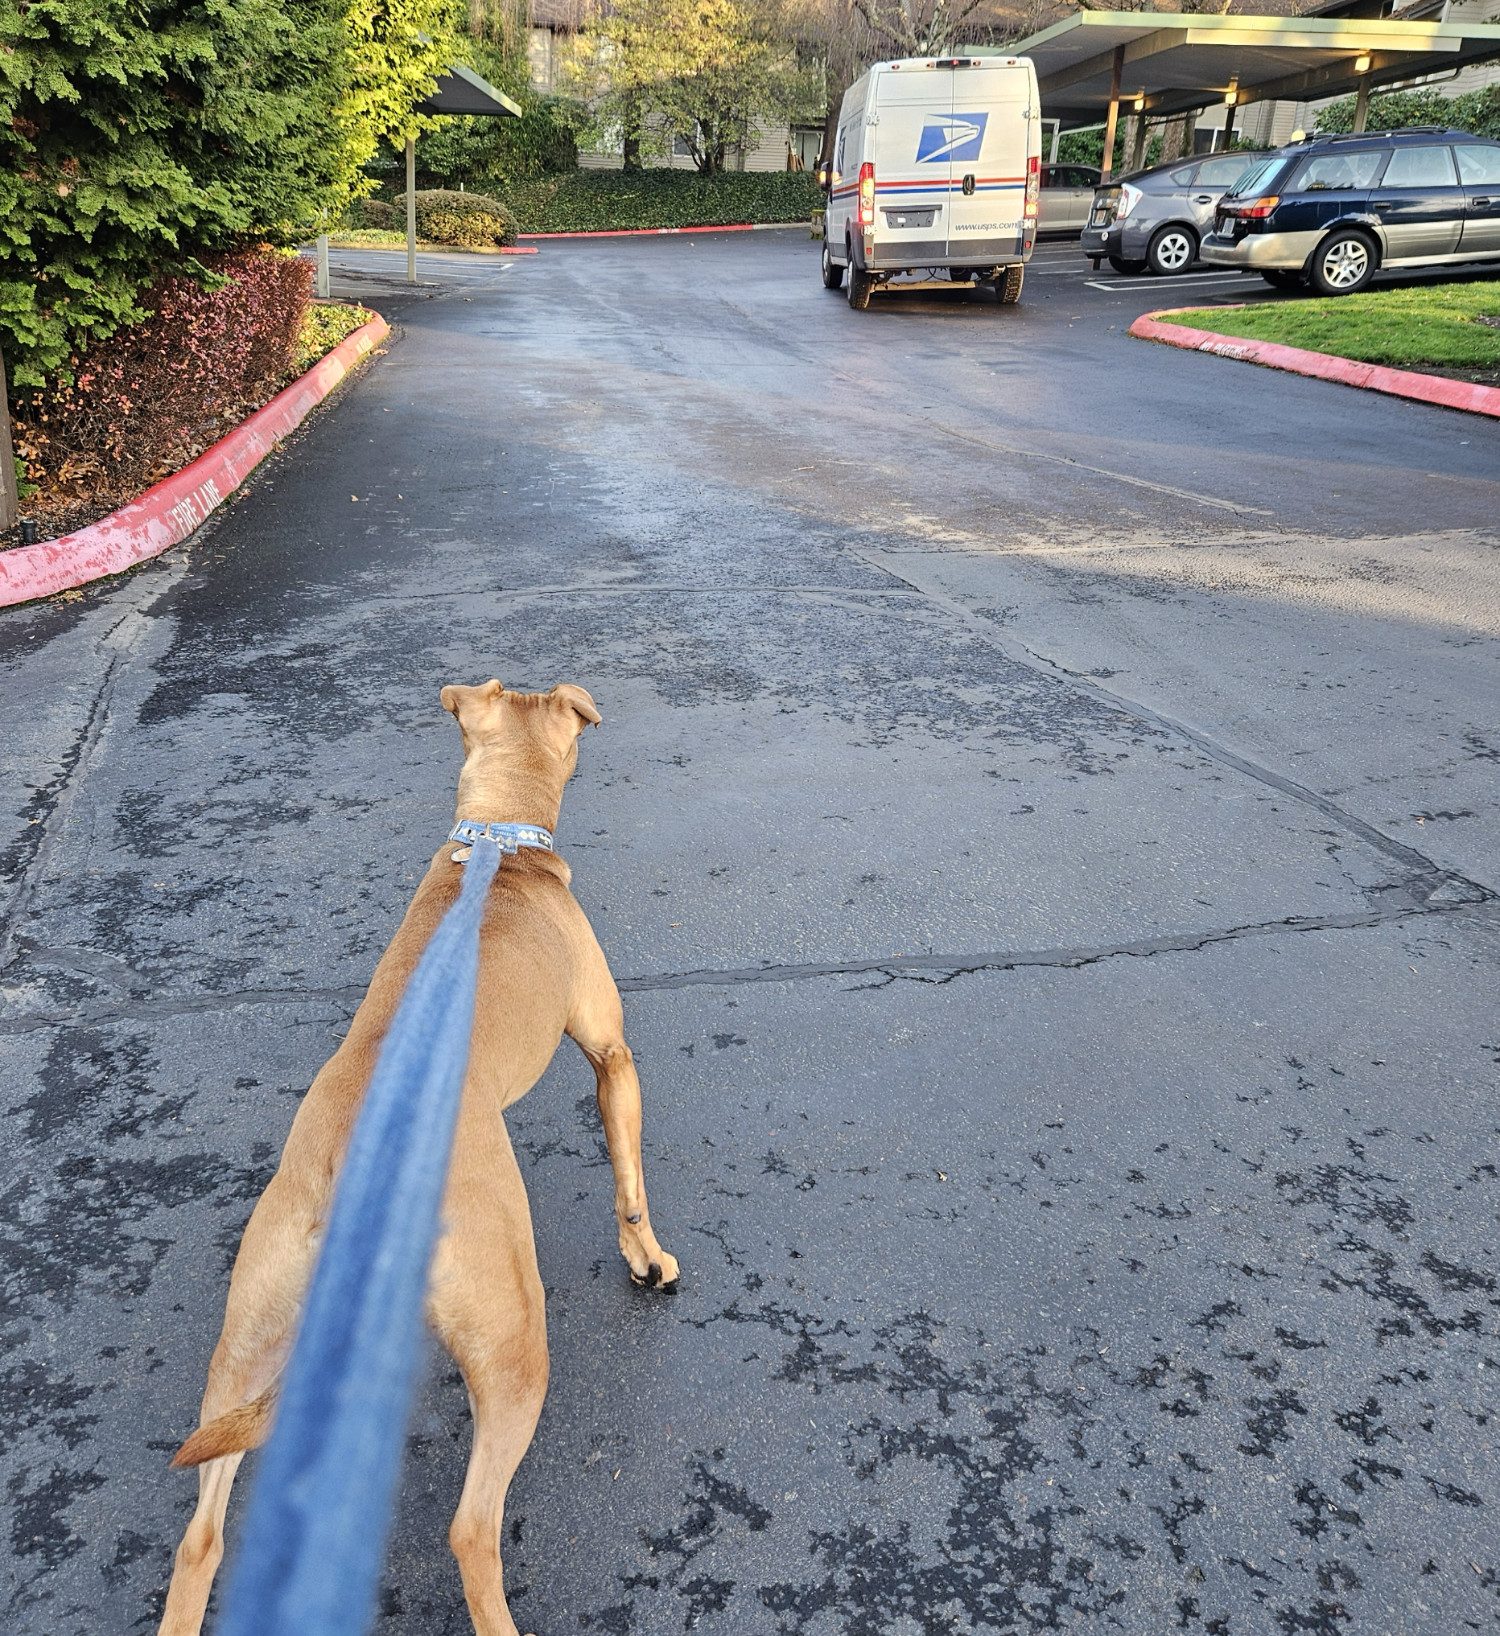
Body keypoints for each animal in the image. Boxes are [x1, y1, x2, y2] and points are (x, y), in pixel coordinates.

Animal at [159, 680, 680, 1636]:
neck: (497, 843)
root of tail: (352, 1179)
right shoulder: (612, 1057)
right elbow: (629, 1181)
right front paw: (648, 1260)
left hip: (246, 1350)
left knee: (199, 1537)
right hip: (514, 1346)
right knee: (471, 1530)